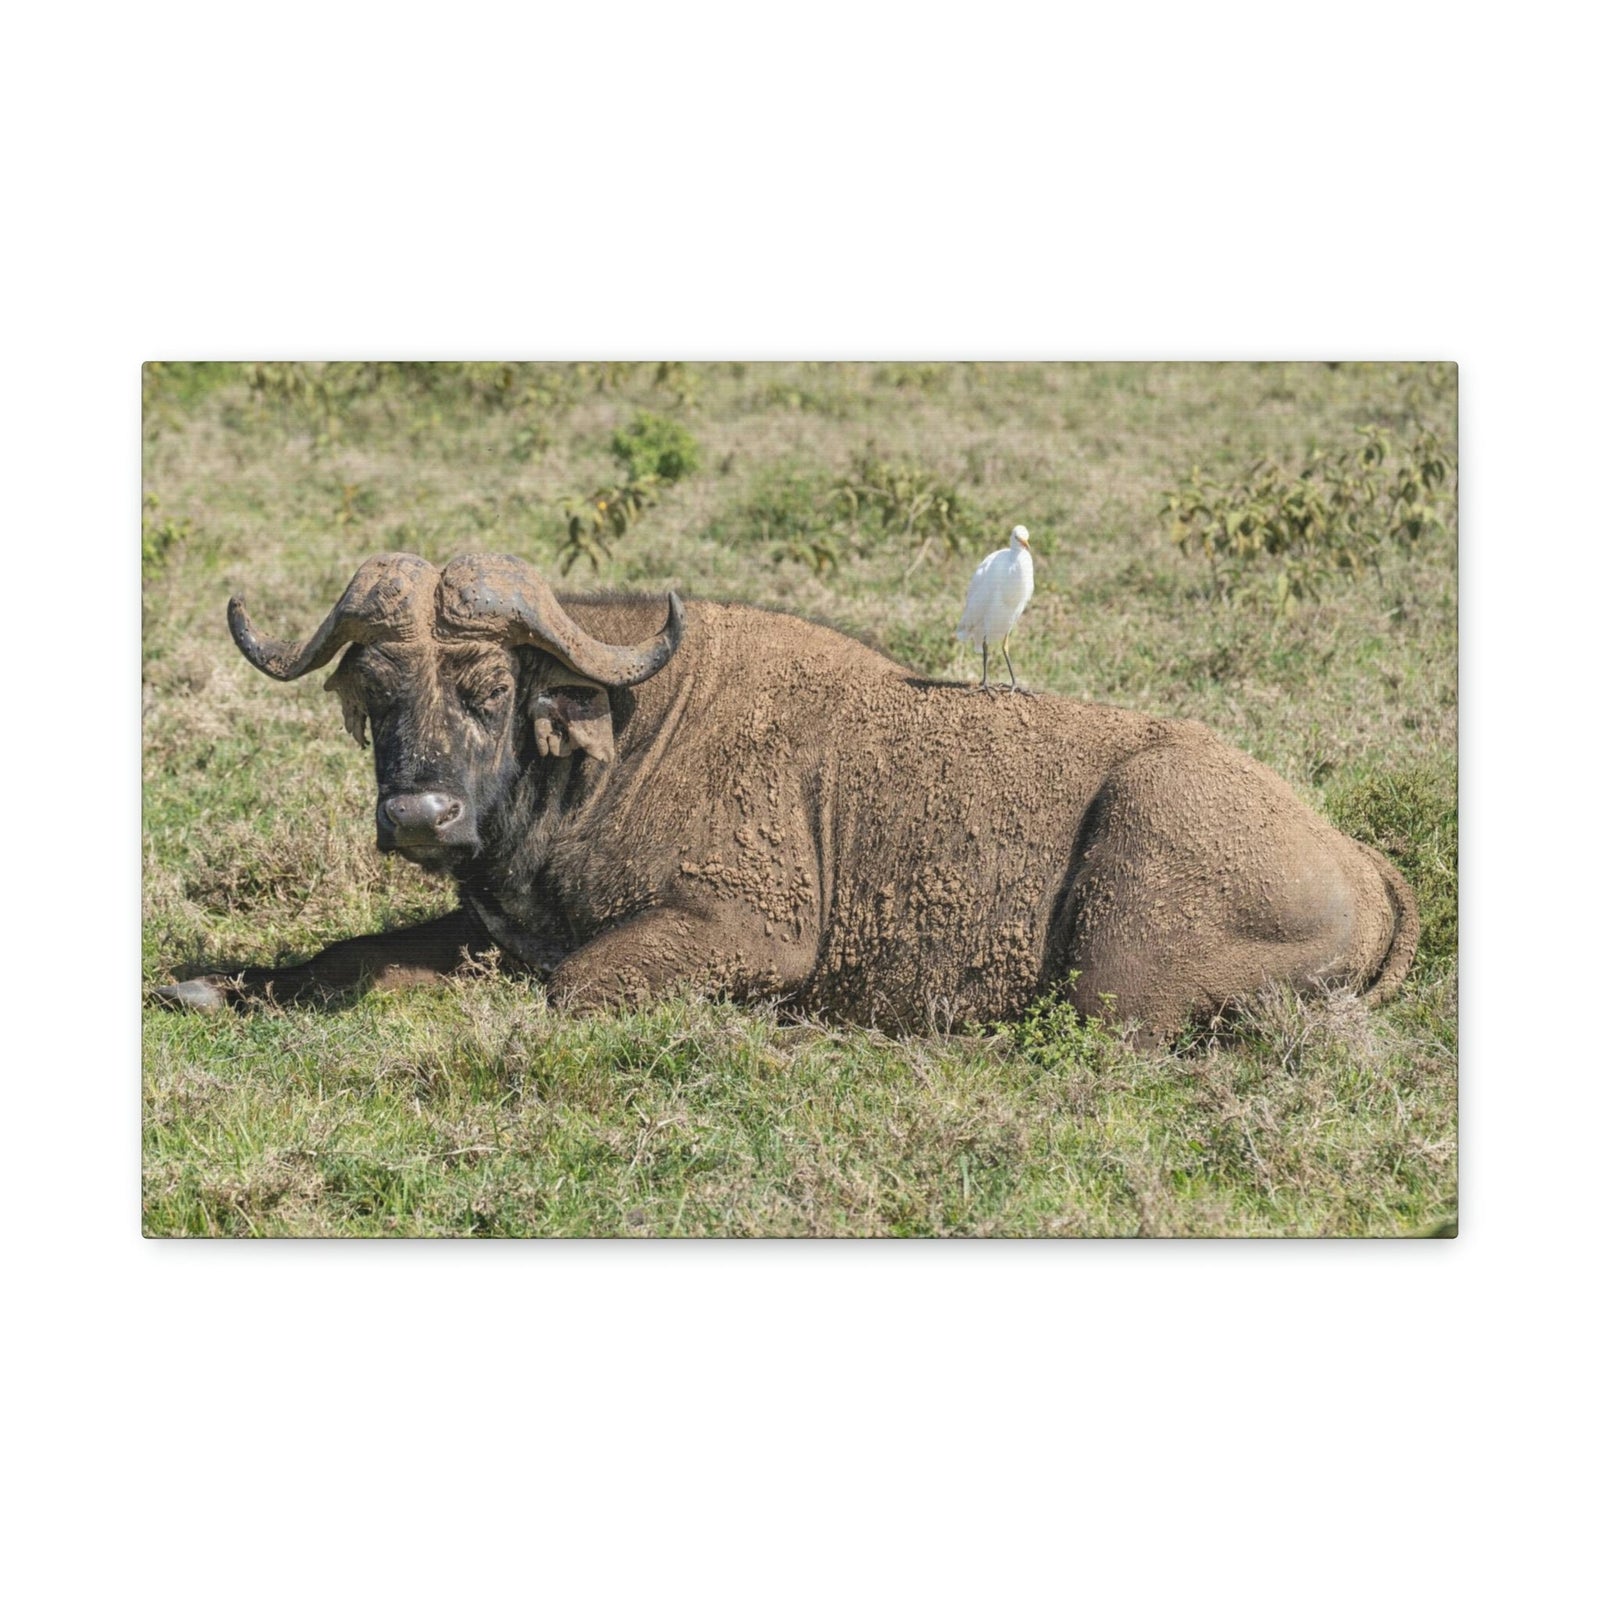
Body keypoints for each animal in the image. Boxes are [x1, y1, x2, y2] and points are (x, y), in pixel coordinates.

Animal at [156, 552, 1419, 1043]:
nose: (421, 819)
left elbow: (568, 987)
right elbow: (344, 956)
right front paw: (211, 983)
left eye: (485, 685)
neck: (616, 746)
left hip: (1121, 941)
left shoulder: (743, 935)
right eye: (375, 689)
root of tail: (1360, 861)